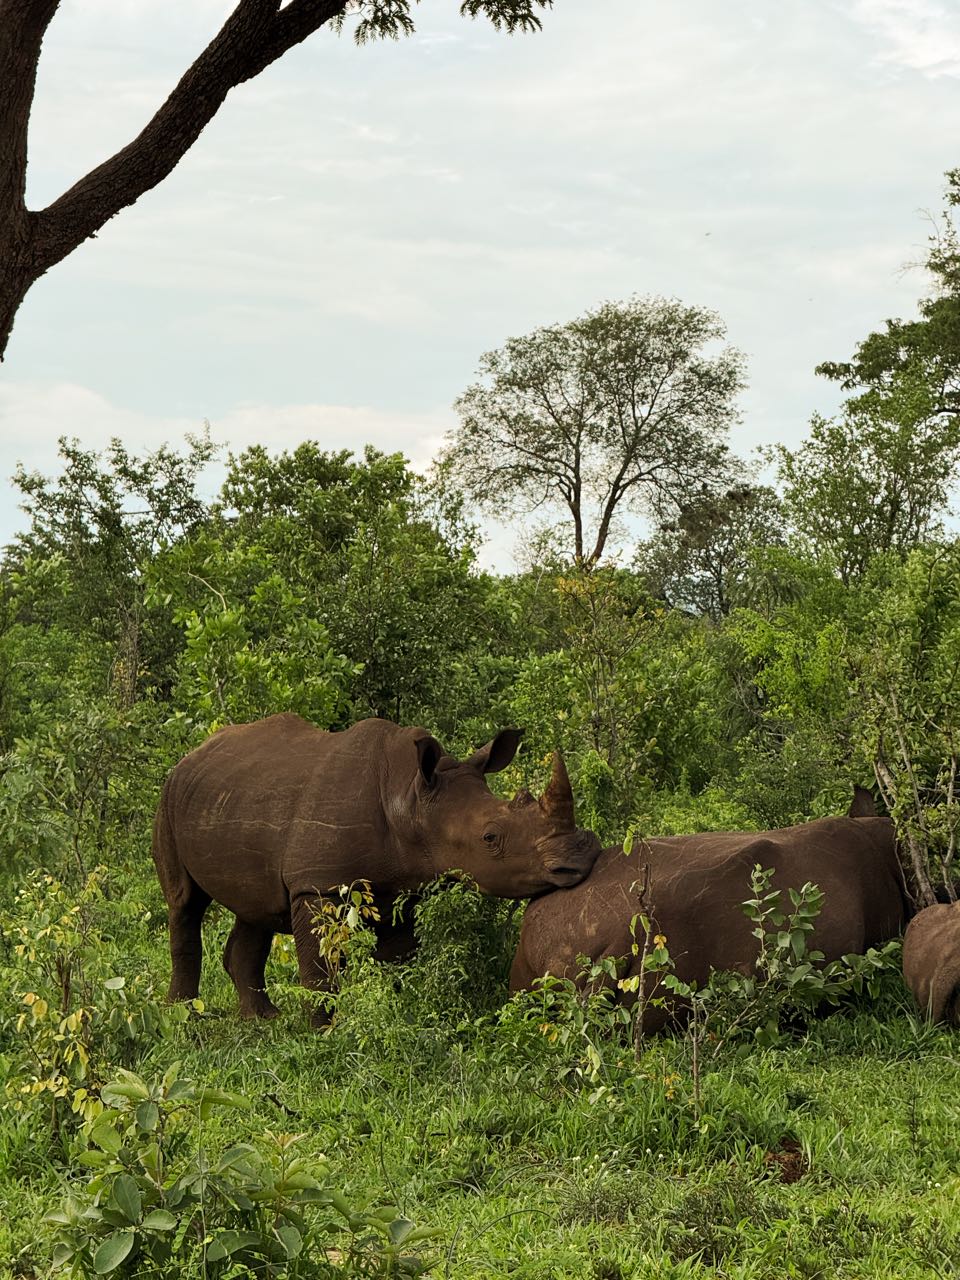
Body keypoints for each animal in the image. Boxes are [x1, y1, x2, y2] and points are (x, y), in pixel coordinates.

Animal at [152, 713, 601, 1019]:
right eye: (490, 838)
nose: (581, 857)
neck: (410, 801)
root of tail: (192, 755)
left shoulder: (406, 887)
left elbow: (397, 960)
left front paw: (394, 1009)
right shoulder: (317, 886)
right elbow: (320, 966)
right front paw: (324, 1030)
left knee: (256, 909)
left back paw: (263, 1021)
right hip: (169, 798)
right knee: (185, 903)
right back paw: (183, 1014)